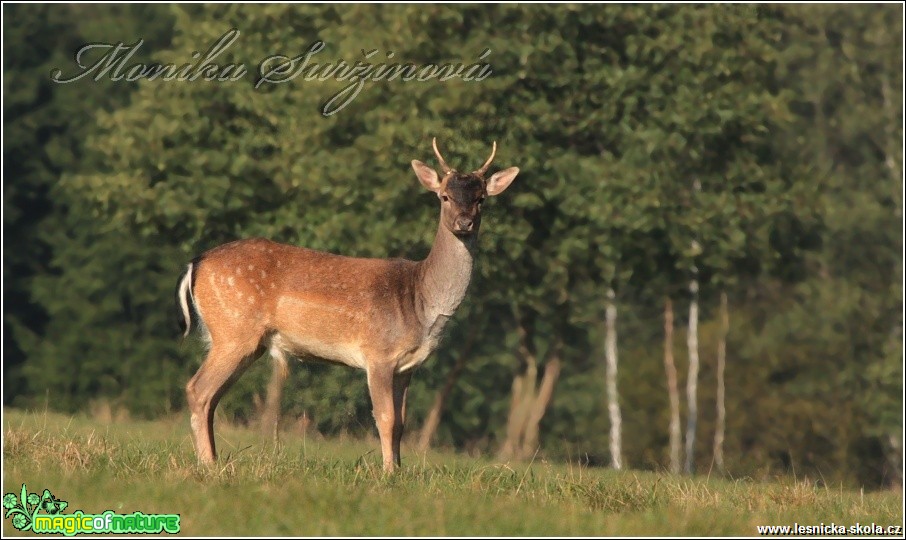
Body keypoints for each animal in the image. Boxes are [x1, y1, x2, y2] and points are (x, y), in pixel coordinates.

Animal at [177, 139, 516, 472]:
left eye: (482, 199)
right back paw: (209, 464)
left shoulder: (407, 367)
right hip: (233, 330)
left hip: (243, 340)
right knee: (198, 389)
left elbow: (402, 423)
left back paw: (213, 459)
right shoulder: (378, 354)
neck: (420, 302)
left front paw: (399, 470)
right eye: (444, 196)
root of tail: (197, 263)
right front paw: (388, 473)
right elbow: (386, 419)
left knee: (211, 396)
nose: (464, 222)